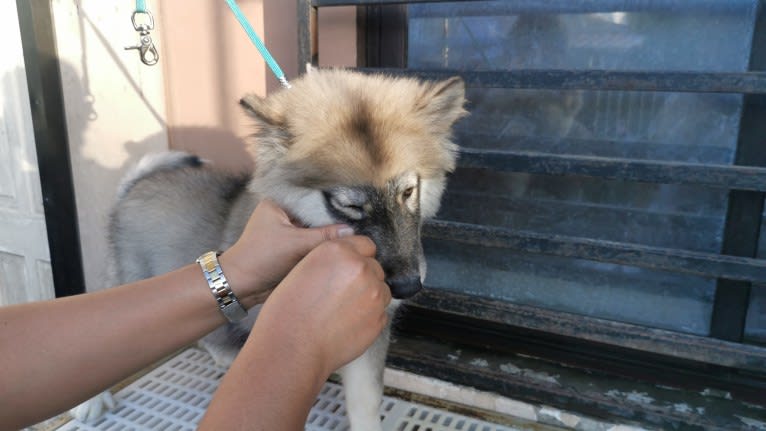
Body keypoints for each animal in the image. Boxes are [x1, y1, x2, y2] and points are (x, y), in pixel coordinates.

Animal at [72, 69, 468, 430]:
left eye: (409, 192)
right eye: (349, 206)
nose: (407, 287)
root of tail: (136, 184)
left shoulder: (370, 334)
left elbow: (366, 402)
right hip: (129, 279)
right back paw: (91, 402)